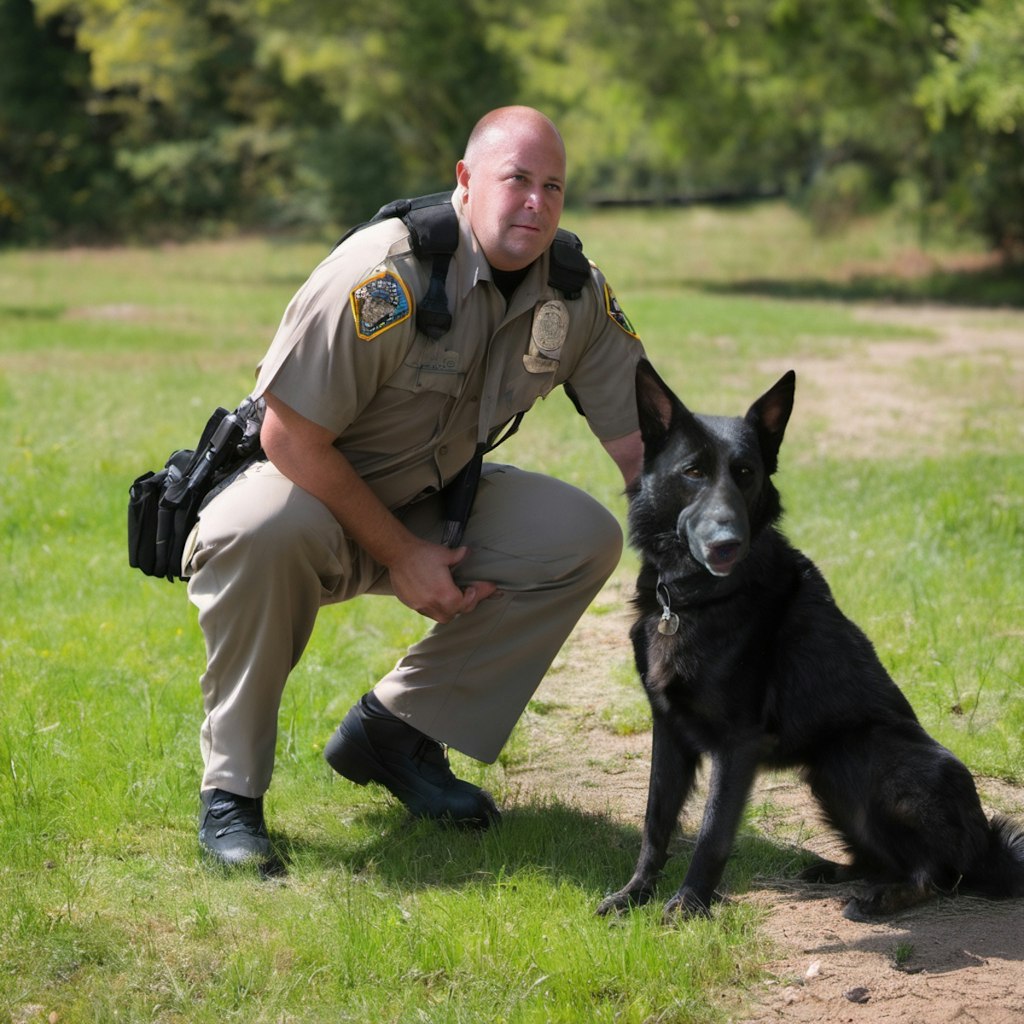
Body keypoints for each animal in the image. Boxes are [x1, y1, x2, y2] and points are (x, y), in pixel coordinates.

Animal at [598, 364, 1024, 925]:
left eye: (745, 473)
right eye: (692, 472)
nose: (728, 543)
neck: (692, 597)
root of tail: (988, 849)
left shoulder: (737, 744)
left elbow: (712, 833)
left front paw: (689, 904)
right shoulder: (668, 729)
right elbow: (655, 823)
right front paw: (634, 893)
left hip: (873, 755)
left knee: (938, 873)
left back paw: (883, 897)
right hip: (829, 776)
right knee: (882, 856)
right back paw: (836, 870)